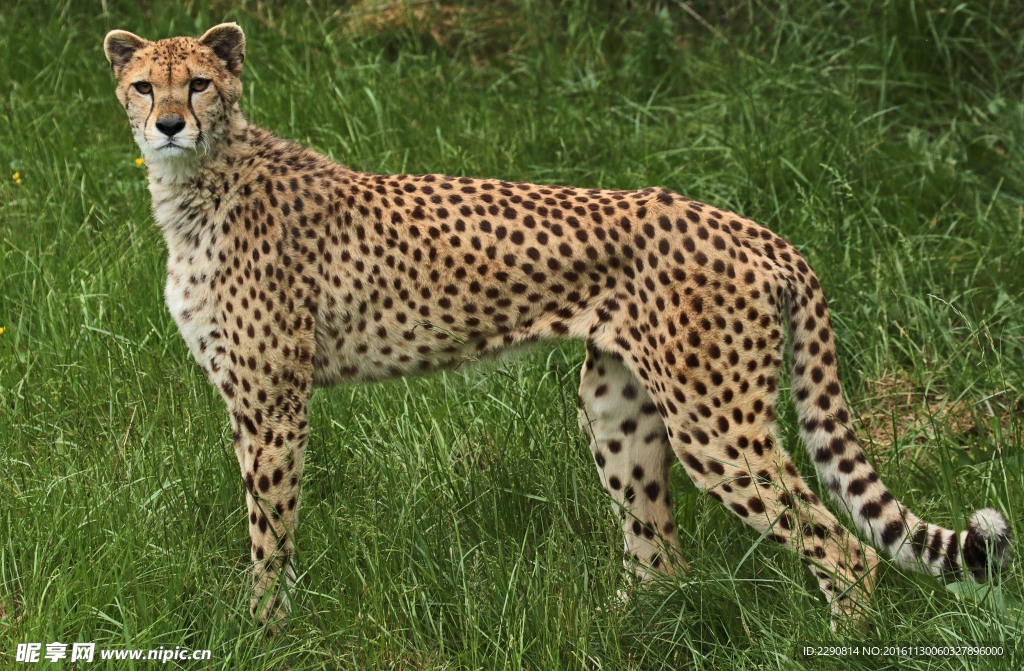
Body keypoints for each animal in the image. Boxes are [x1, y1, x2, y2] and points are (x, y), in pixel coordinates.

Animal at [103, 21, 1007, 631]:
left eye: (201, 84)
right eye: (146, 86)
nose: (170, 123)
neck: (199, 180)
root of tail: (750, 226)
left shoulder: (271, 403)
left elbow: (270, 524)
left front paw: (262, 626)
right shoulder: (260, 399)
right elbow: (270, 521)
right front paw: (264, 620)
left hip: (716, 423)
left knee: (844, 548)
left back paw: (843, 636)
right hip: (616, 409)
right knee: (661, 557)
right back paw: (621, 631)